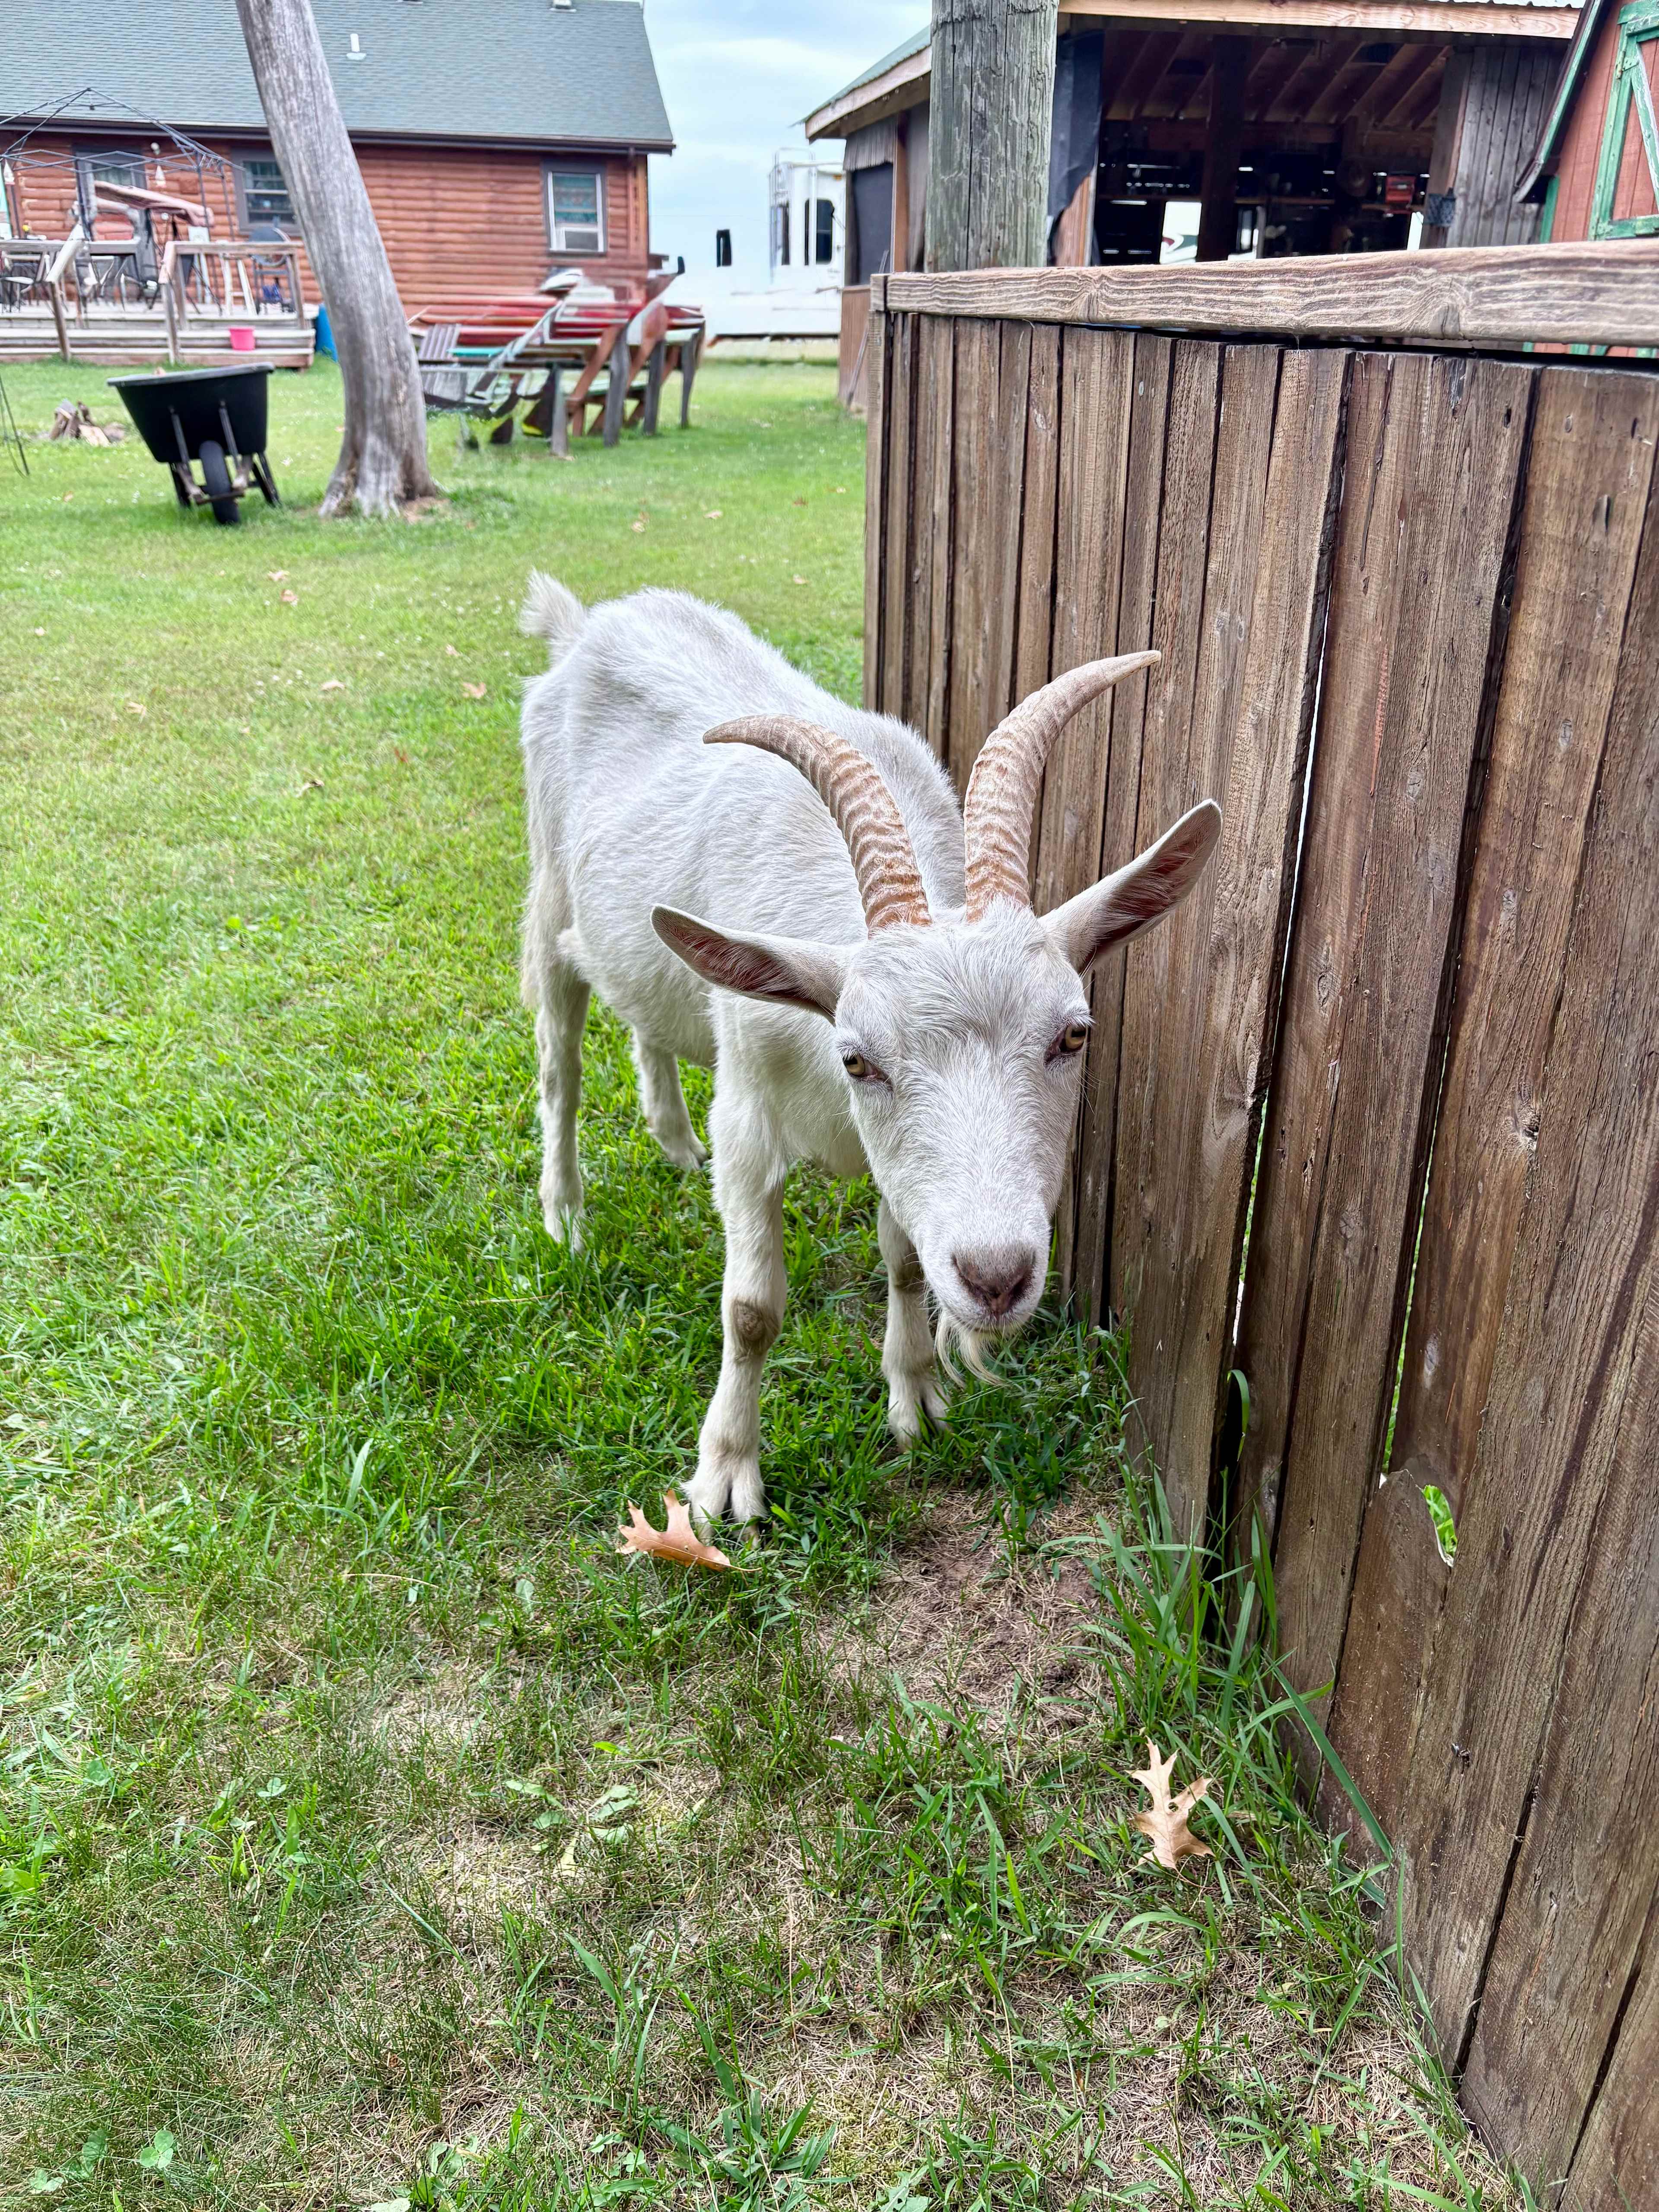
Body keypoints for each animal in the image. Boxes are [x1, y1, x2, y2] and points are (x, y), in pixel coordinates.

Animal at [517, 573, 1220, 1527]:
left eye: (1075, 1034)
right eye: (858, 1058)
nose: (997, 1278)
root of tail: (583, 625)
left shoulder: (903, 1172)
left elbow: (906, 1261)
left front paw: (917, 1392)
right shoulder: (748, 1117)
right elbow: (751, 1309)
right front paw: (724, 1475)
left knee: (646, 1016)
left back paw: (672, 1138)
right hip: (551, 896)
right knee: (561, 1064)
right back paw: (565, 1214)